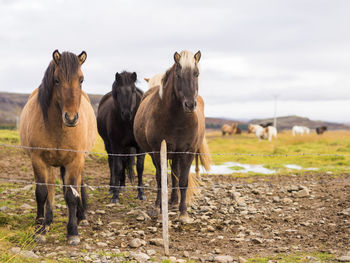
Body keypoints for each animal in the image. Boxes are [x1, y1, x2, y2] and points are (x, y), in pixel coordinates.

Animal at [20, 51, 97, 245]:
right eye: (56, 80)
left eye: (81, 79)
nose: (71, 118)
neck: (59, 128)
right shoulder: (38, 160)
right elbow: (42, 193)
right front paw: (40, 229)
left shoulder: (75, 161)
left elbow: (71, 195)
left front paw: (73, 232)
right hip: (51, 165)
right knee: (51, 190)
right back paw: (47, 221)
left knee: (78, 186)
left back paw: (81, 217)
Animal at [96, 71, 146, 204]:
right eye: (118, 92)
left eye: (133, 90)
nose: (127, 114)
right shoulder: (116, 145)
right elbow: (117, 167)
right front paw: (115, 196)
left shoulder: (139, 148)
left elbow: (139, 167)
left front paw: (141, 194)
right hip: (109, 145)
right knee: (112, 163)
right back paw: (112, 187)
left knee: (124, 162)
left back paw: (122, 185)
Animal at [133, 50, 211, 224]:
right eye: (179, 75)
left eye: (196, 74)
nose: (190, 105)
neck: (177, 119)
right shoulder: (158, 151)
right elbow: (161, 179)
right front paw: (160, 208)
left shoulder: (187, 152)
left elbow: (182, 181)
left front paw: (183, 213)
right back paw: (161, 204)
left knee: (175, 172)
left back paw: (174, 201)